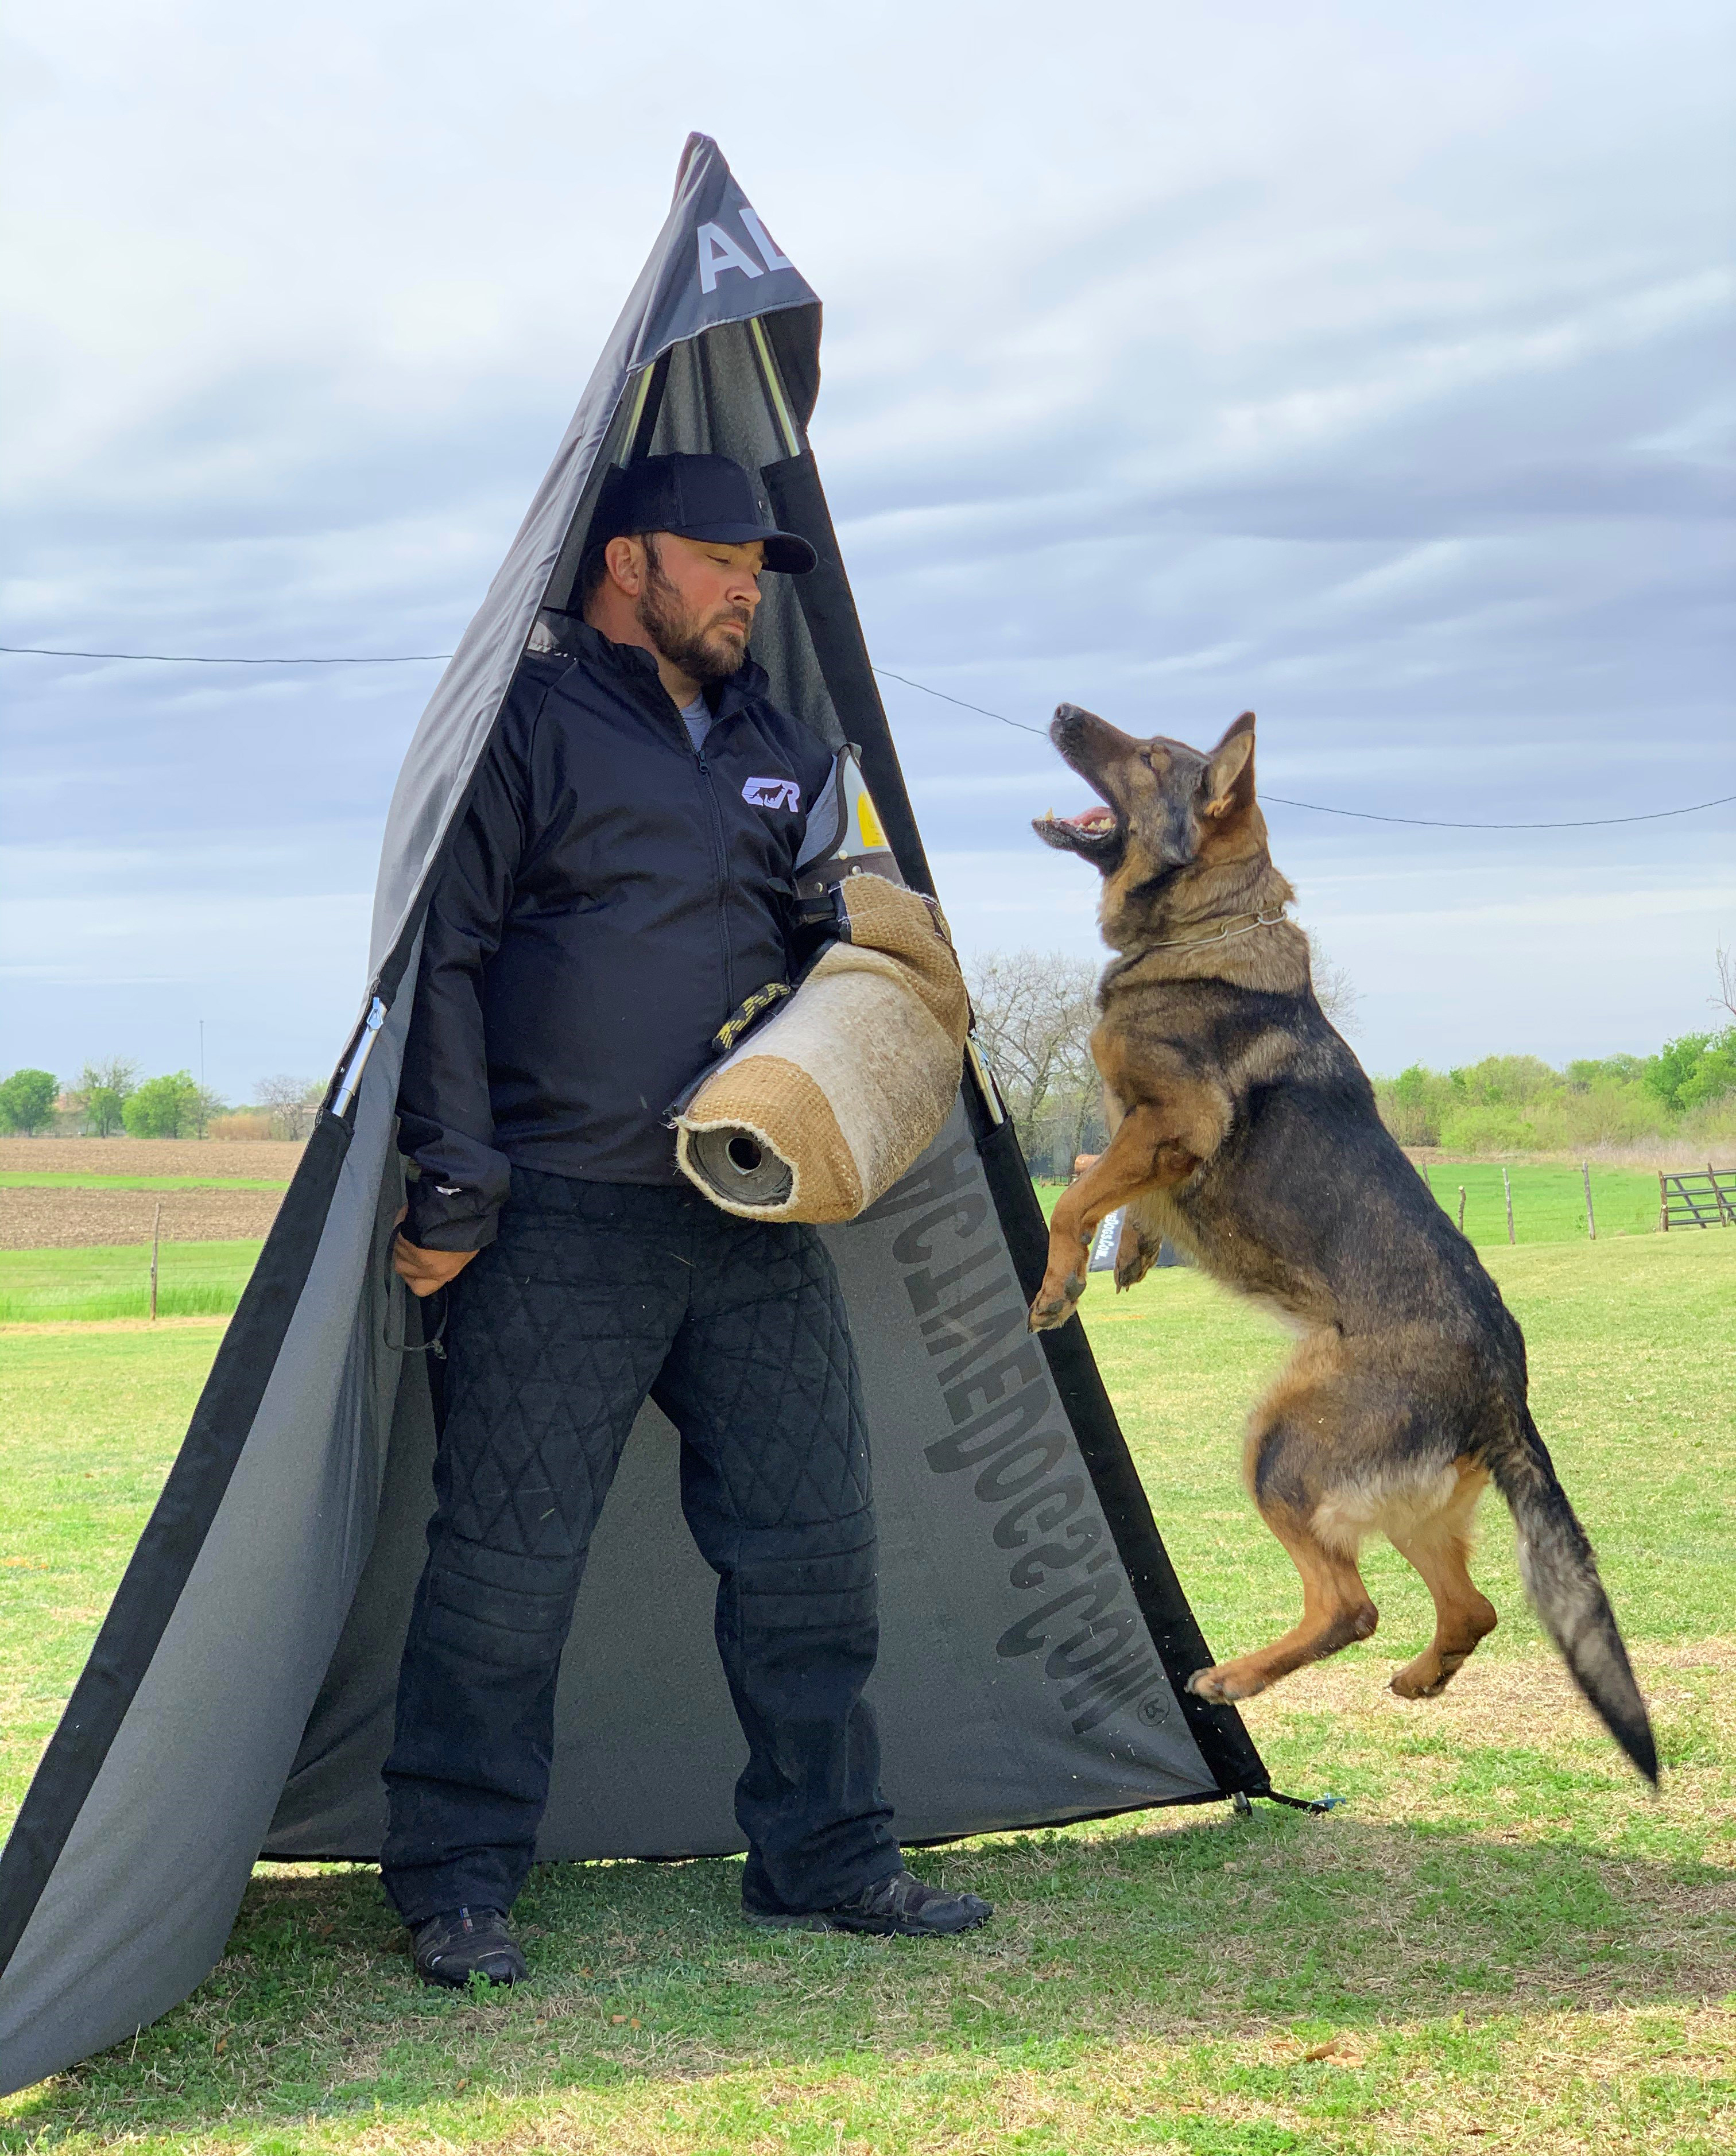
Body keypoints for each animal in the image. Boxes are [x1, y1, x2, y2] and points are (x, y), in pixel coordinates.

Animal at [1030, 707, 1656, 1785]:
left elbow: (1074, 1194)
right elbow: (1090, 1172)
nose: (1064, 711)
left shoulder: (1172, 1123)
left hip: (1279, 1446)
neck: (1203, 932)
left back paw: (1234, 1678)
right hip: (1399, 1504)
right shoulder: (1137, 1138)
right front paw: (1133, 1251)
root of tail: (1503, 1389)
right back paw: (1420, 1677)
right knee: (1473, 1609)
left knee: (1351, 1607)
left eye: (1148, 754)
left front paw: (1060, 1280)